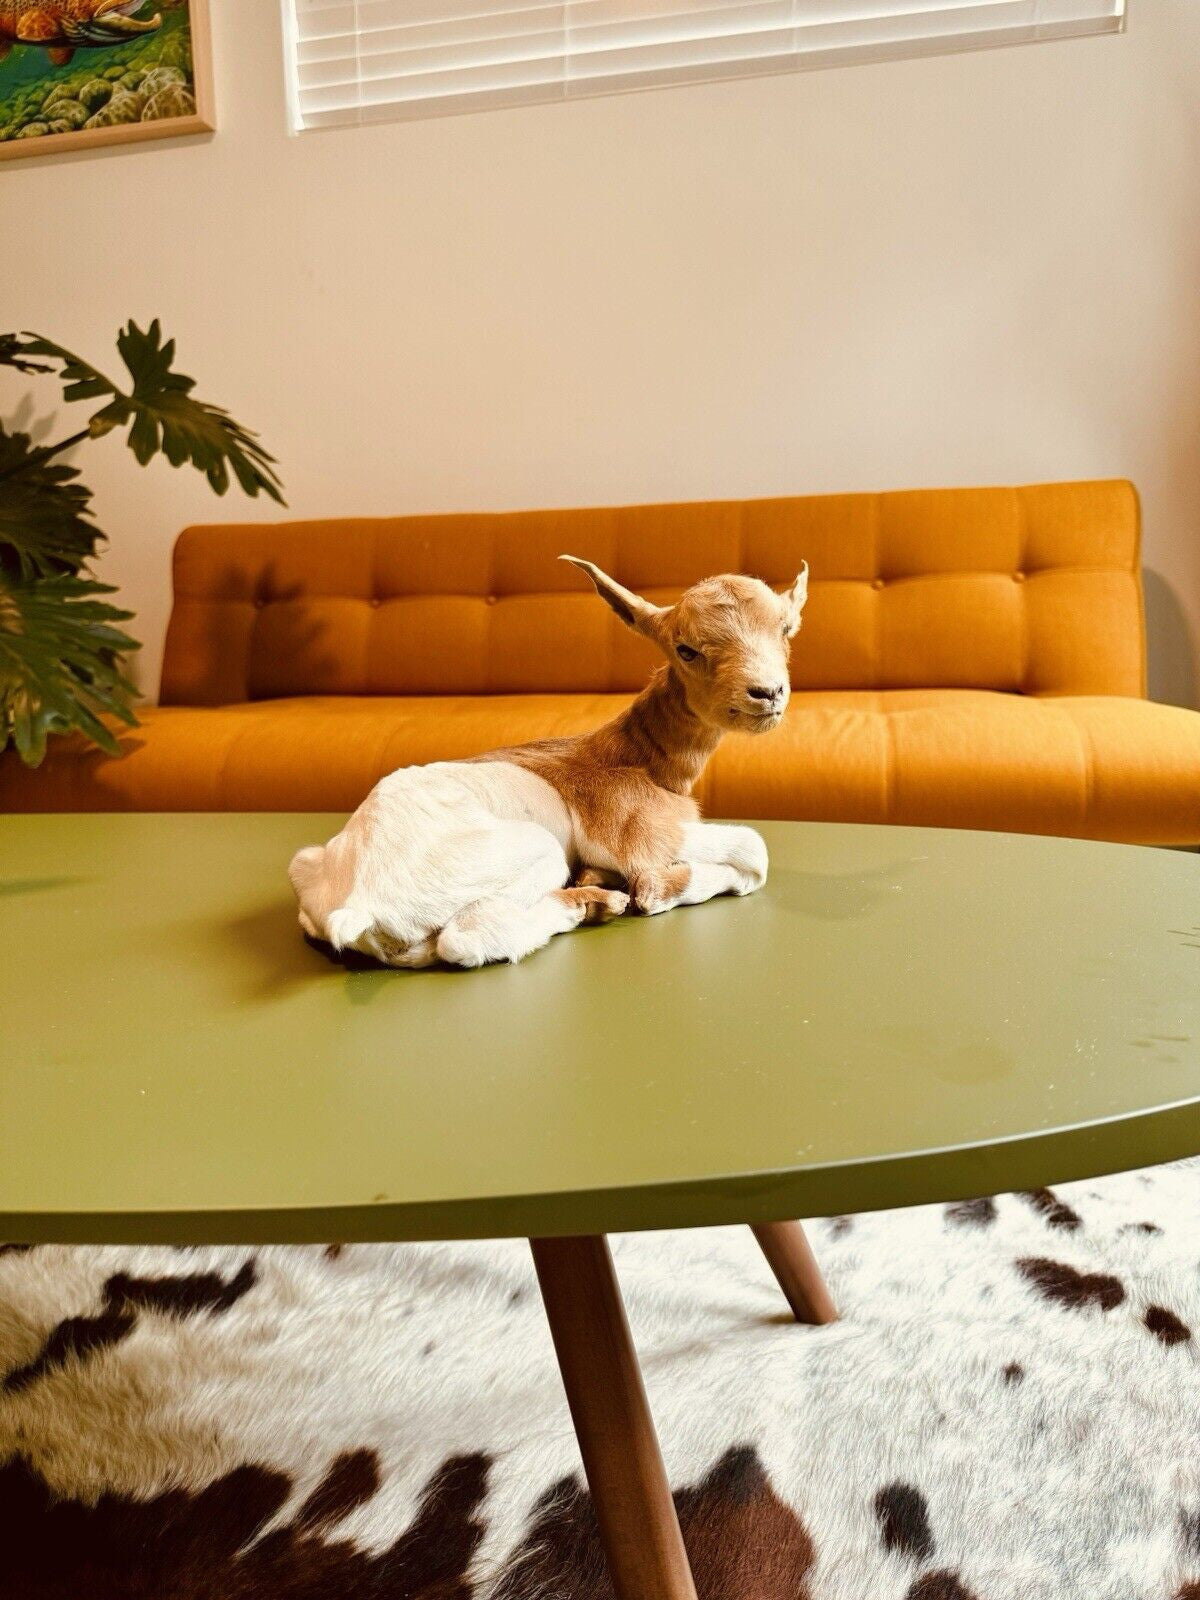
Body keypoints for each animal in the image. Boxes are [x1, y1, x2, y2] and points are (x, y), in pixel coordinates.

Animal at [288, 555, 808, 968]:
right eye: (686, 649)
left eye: (785, 628)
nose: (767, 693)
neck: (641, 757)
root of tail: (358, 901)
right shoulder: (639, 836)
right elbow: (749, 852)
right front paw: (654, 891)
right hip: (535, 851)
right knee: (465, 940)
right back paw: (590, 906)